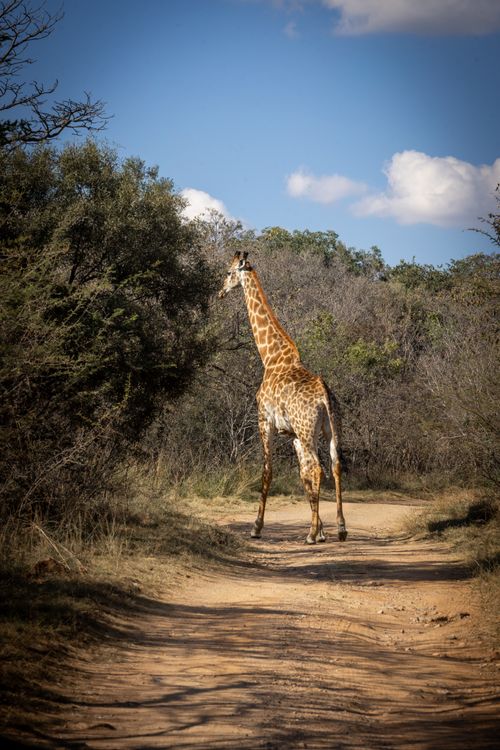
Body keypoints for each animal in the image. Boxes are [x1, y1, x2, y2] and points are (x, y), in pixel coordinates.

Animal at [218, 251, 347, 544]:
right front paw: (322, 530)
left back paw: (309, 535)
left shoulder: (264, 421)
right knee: (333, 465)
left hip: (308, 430)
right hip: (330, 429)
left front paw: (256, 527)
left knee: (318, 468)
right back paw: (341, 528)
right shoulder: (293, 435)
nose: (220, 292)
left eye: (229, 273)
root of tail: (325, 396)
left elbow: (267, 470)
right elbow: (302, 477)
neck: (270, 357)